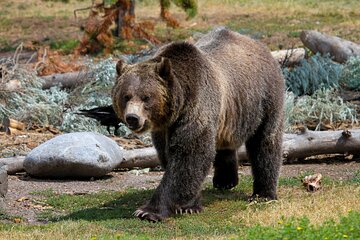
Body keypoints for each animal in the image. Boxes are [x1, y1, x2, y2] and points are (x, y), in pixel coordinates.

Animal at [112, 26, 284, 221]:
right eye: (125, 96)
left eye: (146, 97)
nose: (132, 117)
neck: (178, 104)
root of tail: (263, 47)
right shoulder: (164, 127)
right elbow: (171, 157)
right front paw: (189, 205)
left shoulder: (197, 105)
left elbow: (189, 155)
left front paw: (148, 211)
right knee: (224, 143)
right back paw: (225, 180)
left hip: (263, 97)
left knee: (265, 141)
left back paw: (263, 194)